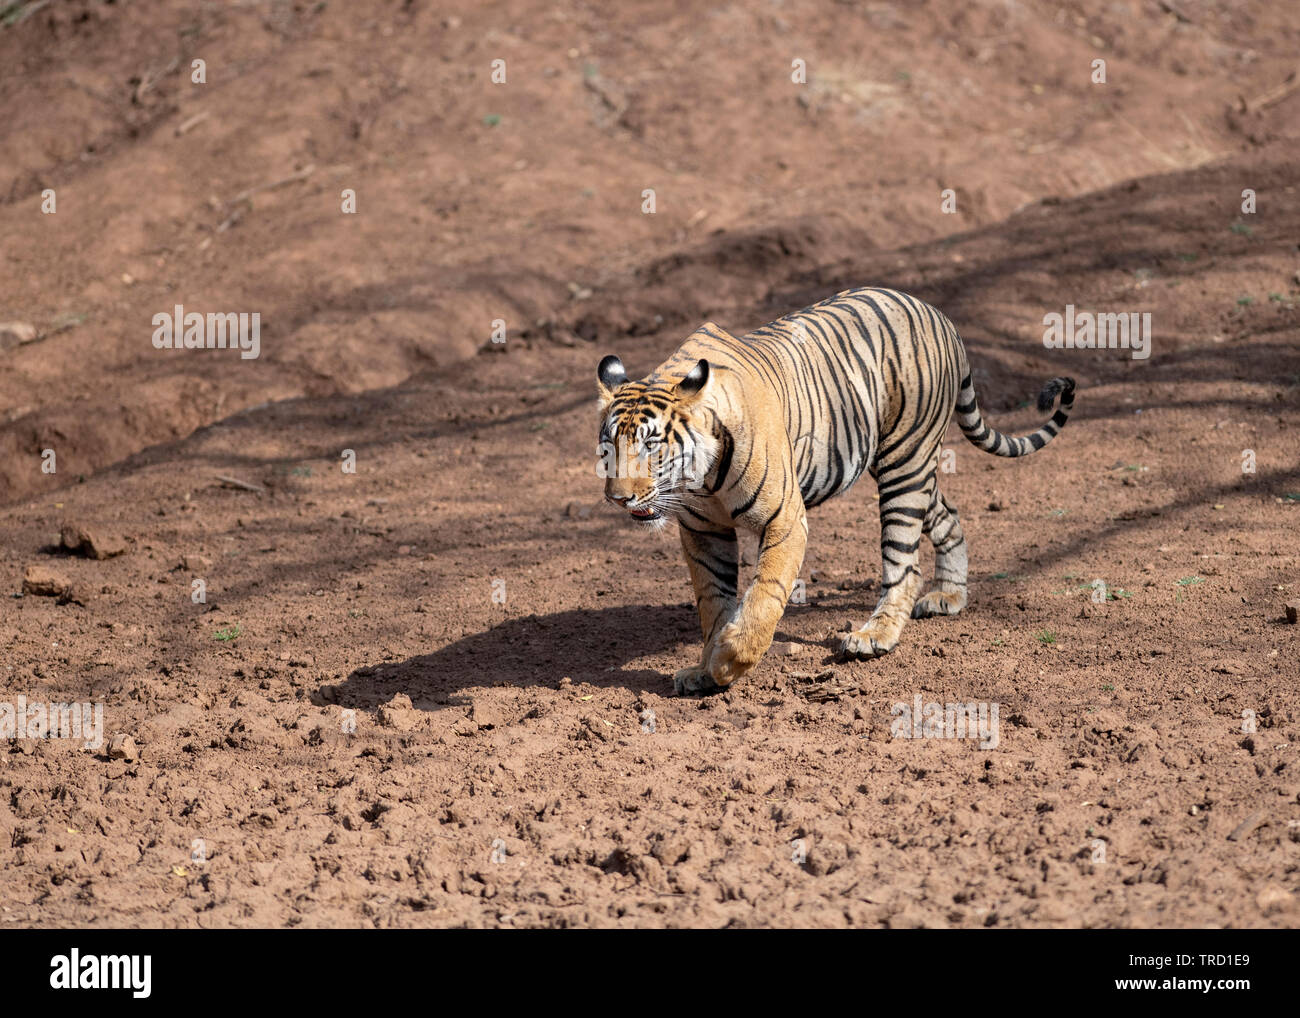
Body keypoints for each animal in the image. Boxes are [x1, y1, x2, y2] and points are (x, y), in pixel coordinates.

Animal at [595, 288, 1071, 702]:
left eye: (651, 445)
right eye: (609, 445)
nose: (618, 499)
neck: (702, 478)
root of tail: (938, 313)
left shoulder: (785, 519)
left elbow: (765, 595)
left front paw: (730, 661)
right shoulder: (703, 531)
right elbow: (712, 601)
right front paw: (705, 669)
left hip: (905, 460)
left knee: (904, 563)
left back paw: (874, 637)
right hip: (903, 465)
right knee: (947, 515)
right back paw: (949, 596)